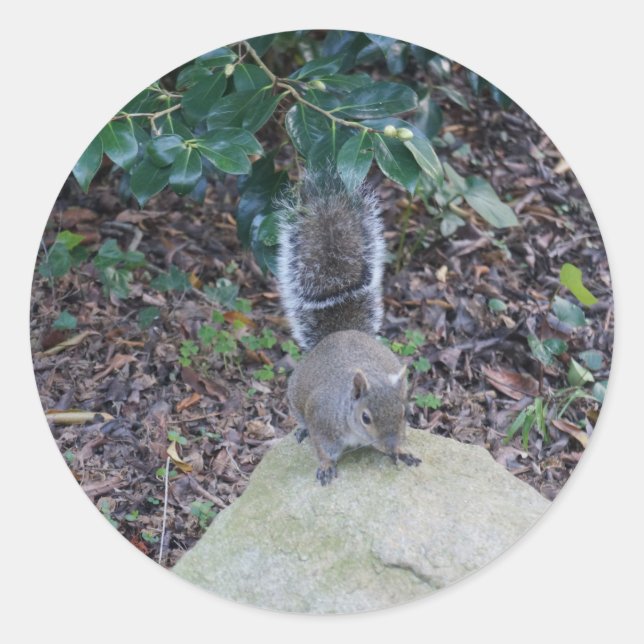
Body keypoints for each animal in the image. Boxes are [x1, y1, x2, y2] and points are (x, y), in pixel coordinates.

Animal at [276, 171, 421, 485]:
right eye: (366, 417)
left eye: (404, 412)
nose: (390, 445)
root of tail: (340, 333)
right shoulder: (323, 420)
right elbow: (322, 448)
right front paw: (326, 466)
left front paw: (402, 451)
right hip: (295, 396)